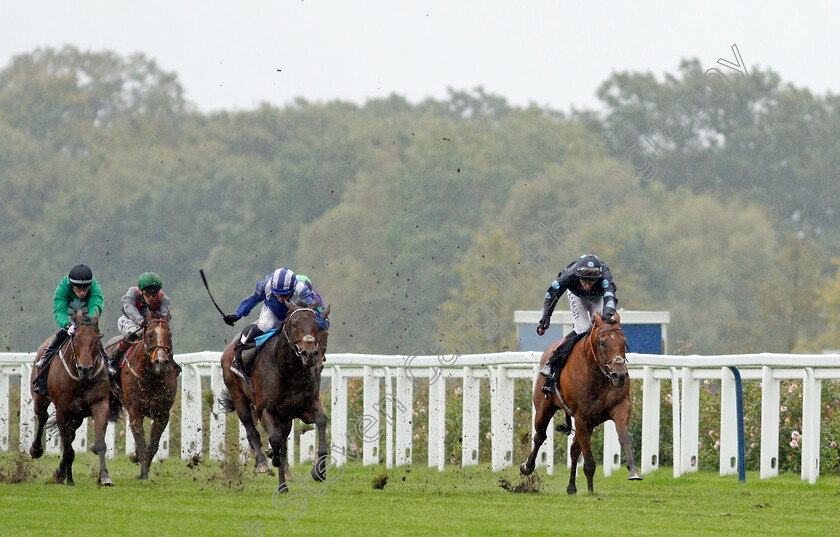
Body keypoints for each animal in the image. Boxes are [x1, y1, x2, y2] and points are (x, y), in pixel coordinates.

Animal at [29, 310, 120, 486]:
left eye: (96, 340)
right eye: (76, 339)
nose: (85, 368)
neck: (81, 380)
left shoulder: (100, 405)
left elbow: (98, 443)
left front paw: (105, 476)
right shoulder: (62, 410)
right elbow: (68, 448)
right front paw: (66, 477)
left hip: (76, 416)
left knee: (70, 436)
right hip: (40, 398)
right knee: (43, 417)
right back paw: (36, 450)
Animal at [106, 308, 178, 480]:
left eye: (169, 335)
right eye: (150, 335)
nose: (161, 362)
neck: (151, 377)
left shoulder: (162, 414)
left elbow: (153, 445)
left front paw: (141, 466)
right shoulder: (135, 411)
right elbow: (141, 440)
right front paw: (143, 471)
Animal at [218, 304, 330, 492]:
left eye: (317, 325)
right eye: (294, 324)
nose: (309, 354)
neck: (290, 373)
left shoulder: (306, 407)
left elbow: (321, 421)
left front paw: (319, 470)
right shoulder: (265, 410)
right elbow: (276, 440)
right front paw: (274, 461)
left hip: (285, 416)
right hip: (239, 398)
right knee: (252, 431)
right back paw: (263, 463)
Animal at [520, 314, 644, 494]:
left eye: (624, 341)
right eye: (602, 342)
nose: (619, 375)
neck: (598, 376)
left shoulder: (620, 408)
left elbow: (624, 437)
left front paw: (634, 470)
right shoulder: (581, 417)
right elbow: (589, 460)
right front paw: (591, 491)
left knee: (573, 449)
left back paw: (571, 486)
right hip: (544, 408)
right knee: (540, 436)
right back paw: (527, 466)